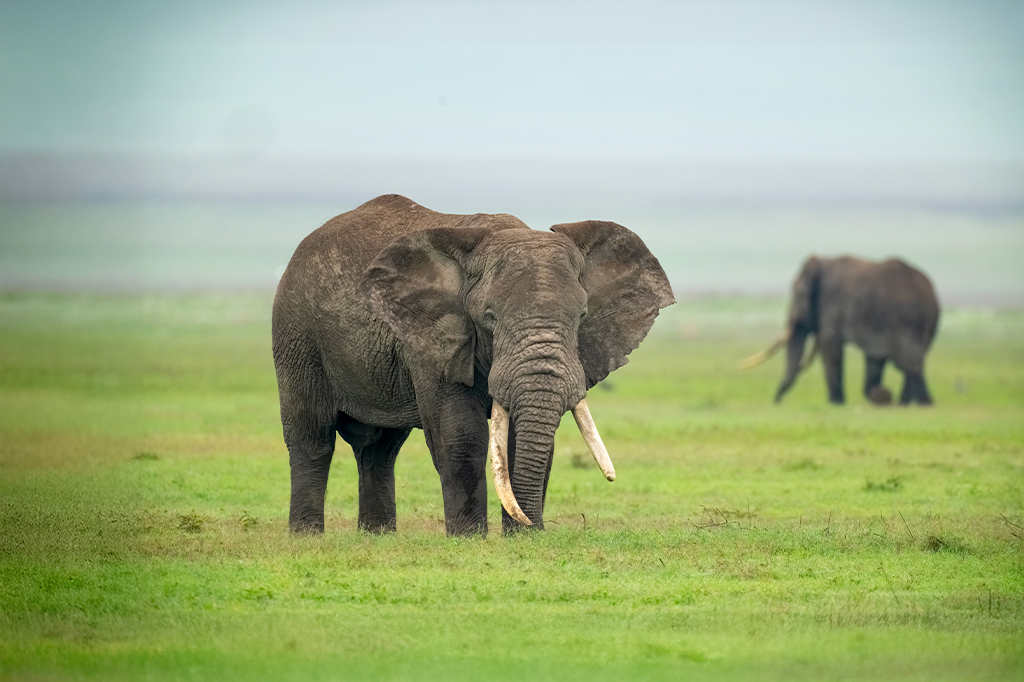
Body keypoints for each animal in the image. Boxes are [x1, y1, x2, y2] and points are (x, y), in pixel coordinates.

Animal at [272, 194, 675, 536]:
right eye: (489, 317)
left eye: (582, 316)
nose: (532, 526)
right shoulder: (435, 339)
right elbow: (461, 436)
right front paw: (468, 538)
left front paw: (521, 538)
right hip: (296, 334)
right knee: (313, 438)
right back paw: (307, 537)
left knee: (380, 449)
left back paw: (377, 537)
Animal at [741, 255, 939, 406]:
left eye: (799, 294)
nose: (777, 401)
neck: (823, 262)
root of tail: (932, 294)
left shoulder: (831, 304)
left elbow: (831, 349)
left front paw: (836, 402)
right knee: (905, 363)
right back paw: (904, 402)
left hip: (906, 322)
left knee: (910, 363)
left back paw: (921, 403)